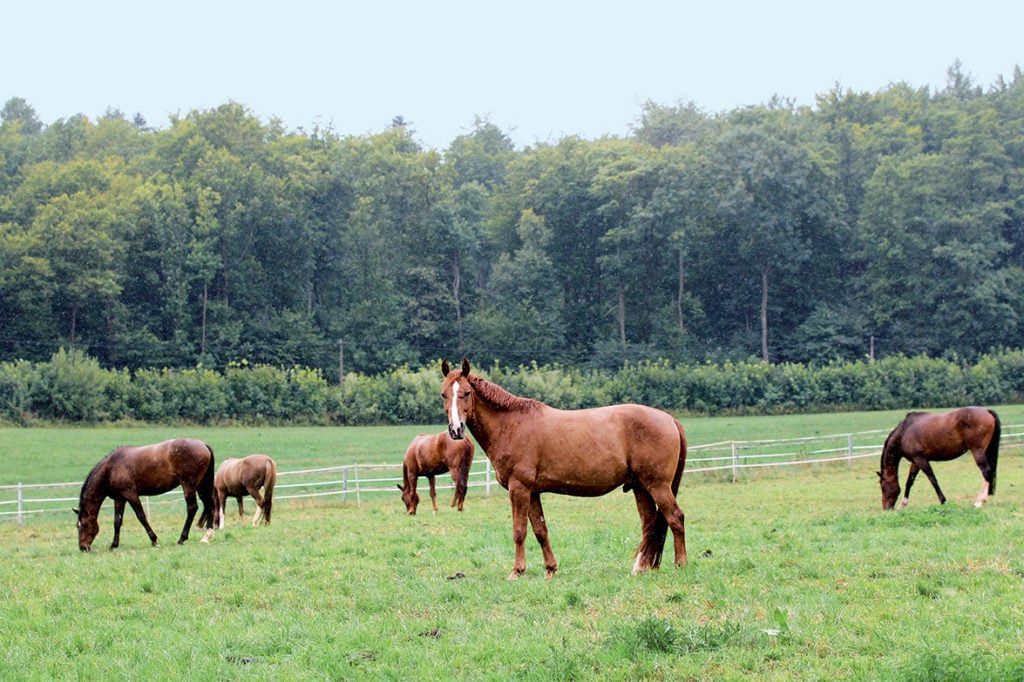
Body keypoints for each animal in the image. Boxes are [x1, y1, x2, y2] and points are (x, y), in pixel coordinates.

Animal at [74, 438, 217, 548]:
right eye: (77, 526)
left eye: (84, 524)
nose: (83, 548)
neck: (111, 468)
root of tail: (204, 445)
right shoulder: (119, 499)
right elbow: (117, 521)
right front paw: (114, 544)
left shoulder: (131, 495)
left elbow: (141, 517)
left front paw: (154, 540)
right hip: (201, 485)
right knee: (209, 505)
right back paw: (206, 537)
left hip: (189, 485)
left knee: (192, 508)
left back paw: (182, 539)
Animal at [440, 356, 688, 577]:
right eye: (444, 394)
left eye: (466, 393)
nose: (456, 430)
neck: (512, 425)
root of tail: (670, 419)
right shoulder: (532, 492)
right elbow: (540, 530)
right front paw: (550, 569)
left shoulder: (519, 489)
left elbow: (519, 531)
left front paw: (517, 571)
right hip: (640, 487)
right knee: (649, 524)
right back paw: (640, 568)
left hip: (657, 485)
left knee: (675, 518)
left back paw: (680, 565)